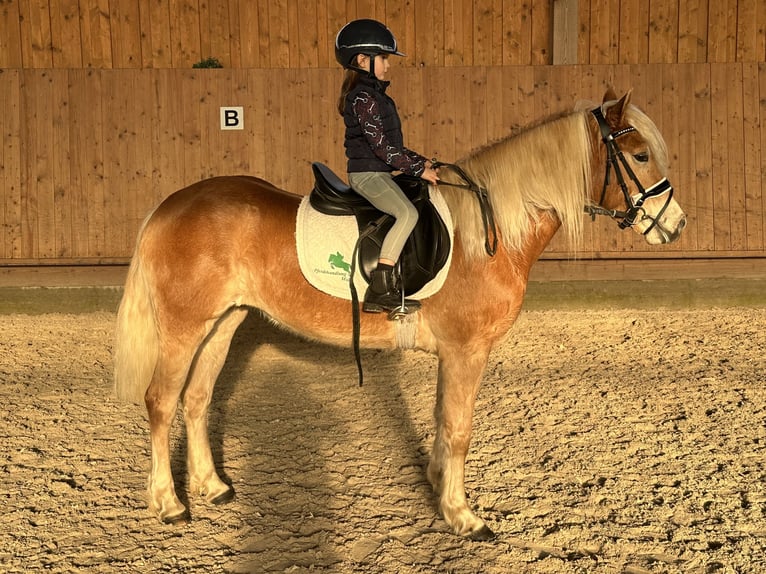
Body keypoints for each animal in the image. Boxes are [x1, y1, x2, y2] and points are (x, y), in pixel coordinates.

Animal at [114, 89, 688, 540]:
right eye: (639, 155)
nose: (676, 224)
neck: (490, 231)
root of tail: (171, 205)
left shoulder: (455, 355)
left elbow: (441, 419)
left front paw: (437, 484)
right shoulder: (466, 351)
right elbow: (459, 428)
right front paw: (462, 516)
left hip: (222, 323)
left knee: (196, 399)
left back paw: (212, 487)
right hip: (184, 328)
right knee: (161, 401)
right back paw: (169, 504)